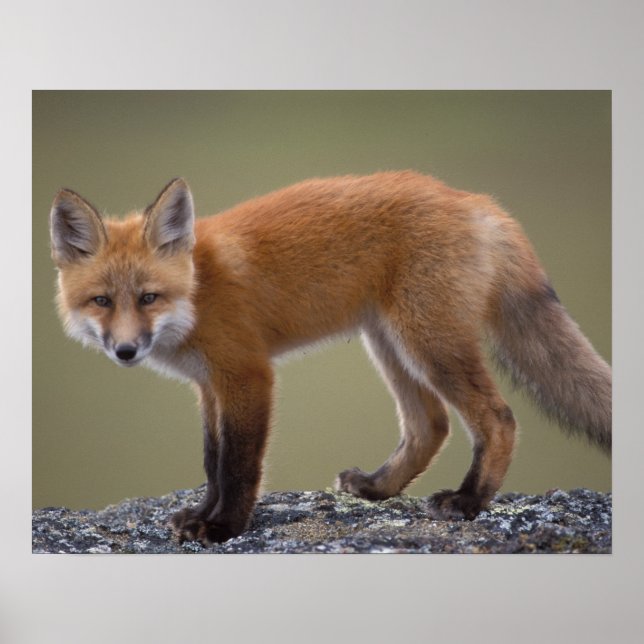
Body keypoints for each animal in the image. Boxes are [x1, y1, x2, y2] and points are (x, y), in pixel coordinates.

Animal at [49, 171, 611, 544]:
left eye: (148, 298)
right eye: (102, 301)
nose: (125, 350)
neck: (198, 290)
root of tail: (477, 199)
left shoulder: (249, 375)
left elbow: (238, 465)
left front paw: (224, 526)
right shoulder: (210, 385)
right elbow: (212, 461)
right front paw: (201, 513)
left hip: (429, 344)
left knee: (498, 418)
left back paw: (469, 501)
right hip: (388, 343)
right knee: (430, 425)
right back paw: (378, 488)